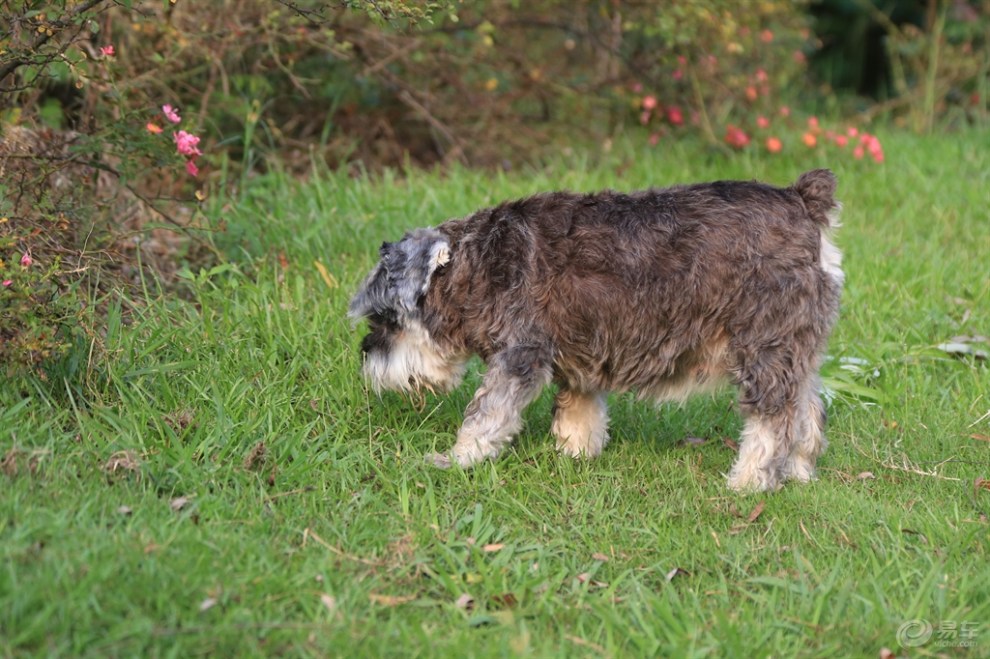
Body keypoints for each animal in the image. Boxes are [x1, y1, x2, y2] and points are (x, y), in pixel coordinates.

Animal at [348, 170, 844, 490]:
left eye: (385, 319)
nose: (368, 359)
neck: (478, 263)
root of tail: (802, 199)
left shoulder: (519, 355)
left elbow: (486, 415)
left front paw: (456, 460)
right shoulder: (581, 354)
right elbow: (578, 410)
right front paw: (574, 455)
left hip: (764, 347)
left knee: (773, 419)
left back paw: (749, 482)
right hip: (798, 347)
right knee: (809, 409)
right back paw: (800, 472)